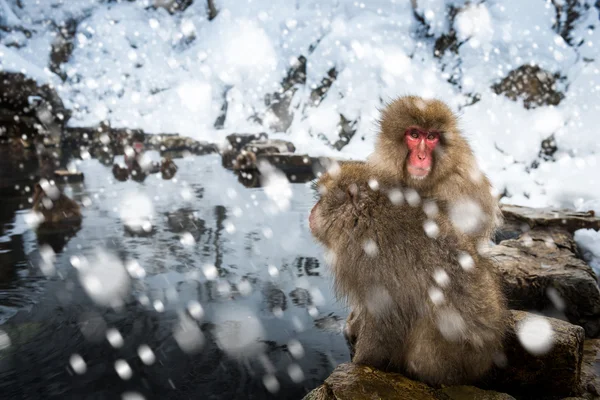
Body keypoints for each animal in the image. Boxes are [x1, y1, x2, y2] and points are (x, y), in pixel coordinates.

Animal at [310, 162, 506, 388]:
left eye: (321, 198)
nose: (311, 212)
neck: (365, 215)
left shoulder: (374, 263)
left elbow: (384, 319)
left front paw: (360, 363)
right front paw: (352, 326)